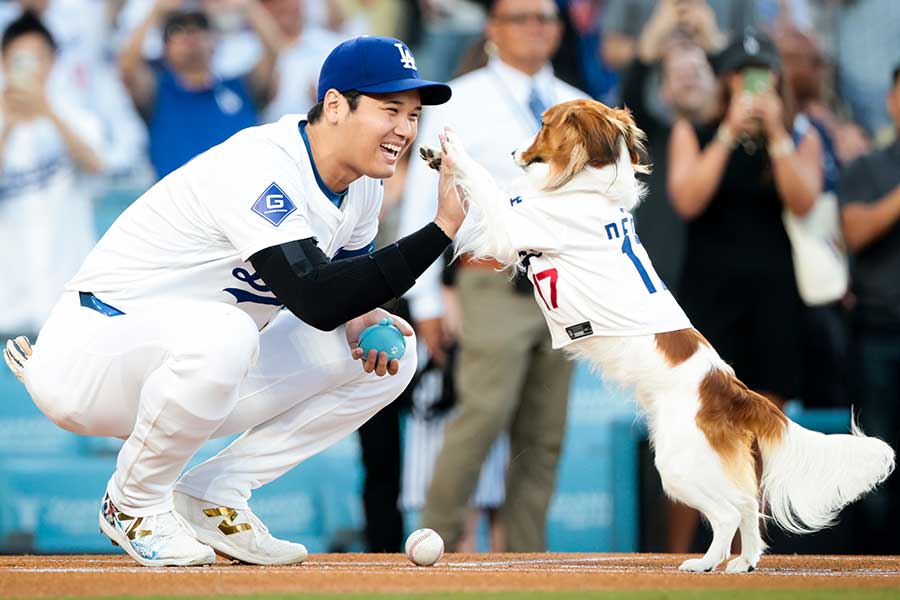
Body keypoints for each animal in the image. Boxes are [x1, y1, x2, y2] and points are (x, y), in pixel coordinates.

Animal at [420, 101, 892, 576]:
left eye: (543, 125)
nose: (515, 151)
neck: (587, 188)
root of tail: (733, 390)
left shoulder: (512, 225)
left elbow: (484, 181)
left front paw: (453, 150)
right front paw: (437, 158)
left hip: (677, 462)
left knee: (727, 512)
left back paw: (705, 563)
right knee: (746, 504)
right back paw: (743, 563)